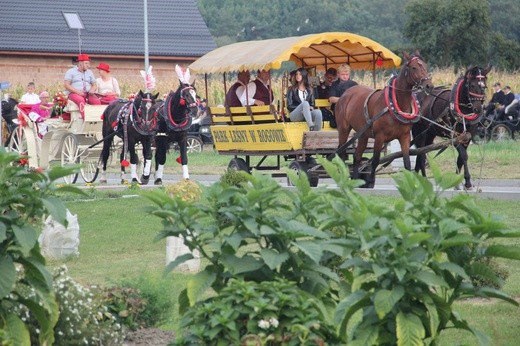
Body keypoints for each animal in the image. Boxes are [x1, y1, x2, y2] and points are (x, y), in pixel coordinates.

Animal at [336, 52, 432, 187]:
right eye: (414, 68)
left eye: (425, 66)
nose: (429, 85)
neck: (394, 104)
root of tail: (345, 94)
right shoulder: (379, 137)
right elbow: (375, 160)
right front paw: (370, 180)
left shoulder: (405, 137)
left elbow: (407, 162)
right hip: (343, 129)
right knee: (341, 154)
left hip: (363, 134)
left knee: (357, 157)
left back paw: (355, 180)